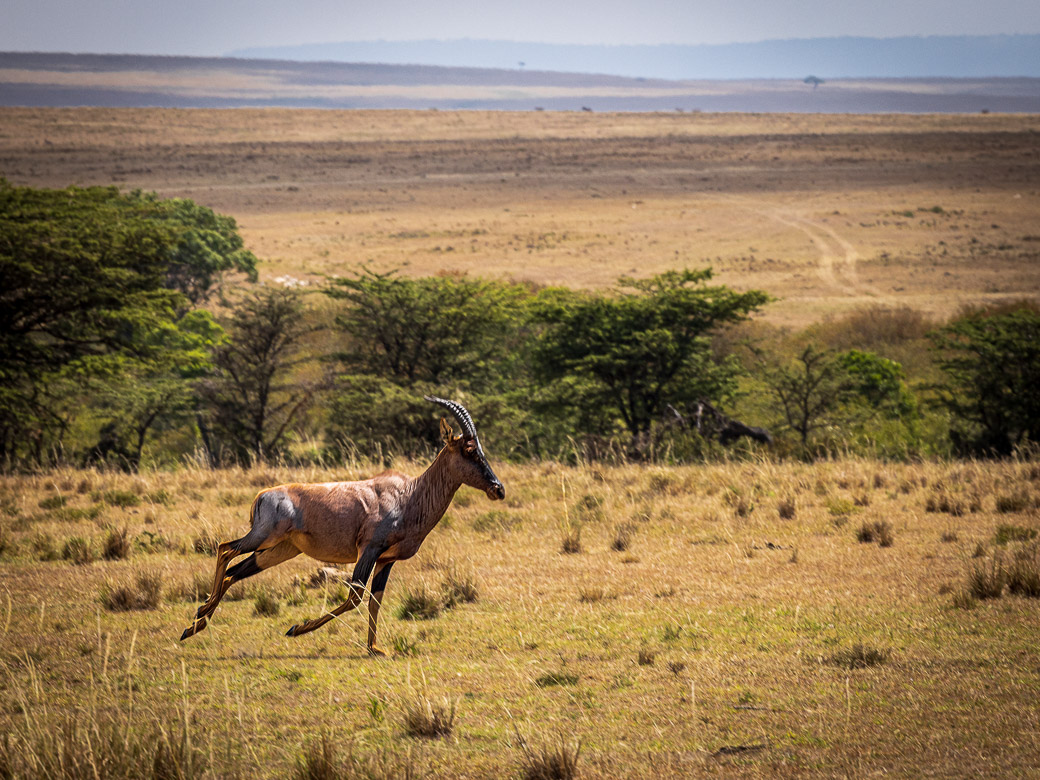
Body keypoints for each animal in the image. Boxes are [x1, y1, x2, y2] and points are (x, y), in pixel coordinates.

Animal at [180, 393, 505, 657]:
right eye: (469, 450)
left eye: (480, 449)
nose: (498, 489)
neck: (409, 493)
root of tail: (263, 495)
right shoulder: (369, 549)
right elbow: (356, 596)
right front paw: (296, 628)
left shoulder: (386, 559)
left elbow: (375, 600)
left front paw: (375, 648)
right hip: (262, 537)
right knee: (225, 549)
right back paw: (197, 619)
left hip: (277, 551)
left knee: (234, 571)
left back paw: (196, 623)